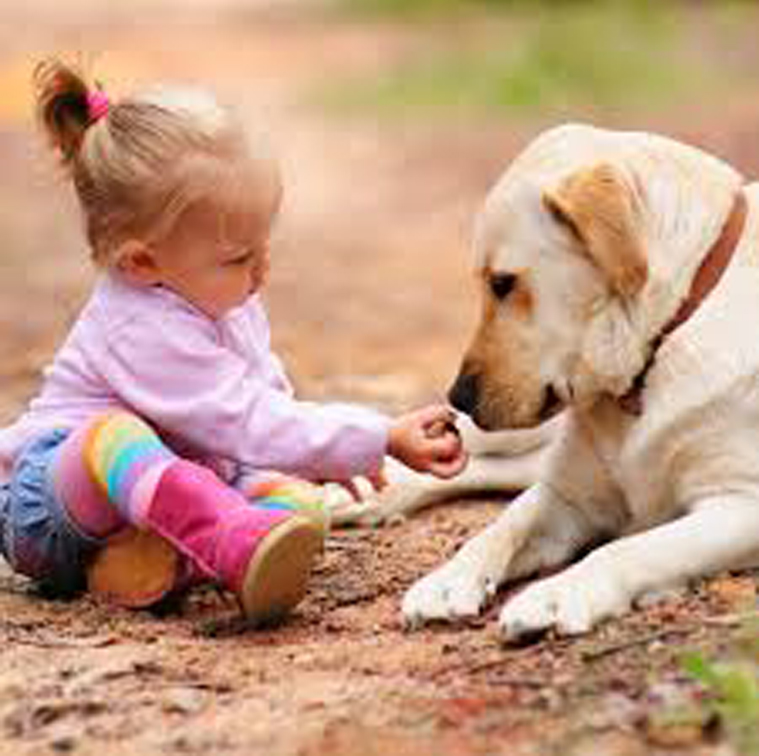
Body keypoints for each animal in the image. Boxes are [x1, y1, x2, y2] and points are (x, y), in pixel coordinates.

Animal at [400, 122, 759, 636]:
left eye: (502, 283)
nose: (459, 397)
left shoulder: (742, 504)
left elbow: (628, 549)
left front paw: (558, 593)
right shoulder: (567, 497)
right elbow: (501, 527)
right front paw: (449, 579)